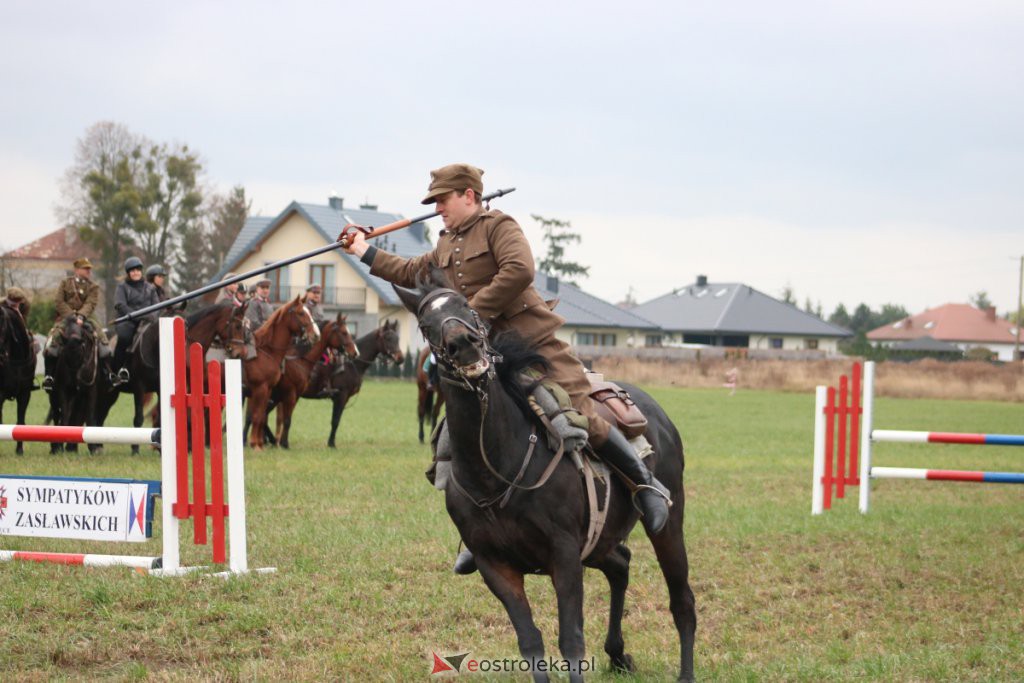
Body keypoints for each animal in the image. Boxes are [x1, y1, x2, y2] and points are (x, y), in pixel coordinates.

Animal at [236, 296, 319, 448]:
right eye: (301, 313)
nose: (315, 335)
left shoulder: (266, 391)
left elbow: (259, 416)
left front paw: (258, 443)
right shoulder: (264, 390)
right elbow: (259, 416)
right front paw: (256, 443)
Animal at [391, 276, 696, 683]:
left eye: (469, 308)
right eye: (426, 324)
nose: (464, 344)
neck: (497, 469)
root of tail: (658, 416)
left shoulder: (564, 556)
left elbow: (571, 642)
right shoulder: (495, 566)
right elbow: (531, 642)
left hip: (667, 526)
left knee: (682, 601)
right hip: (598, 545)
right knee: (620, 564)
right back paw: (617, 654)